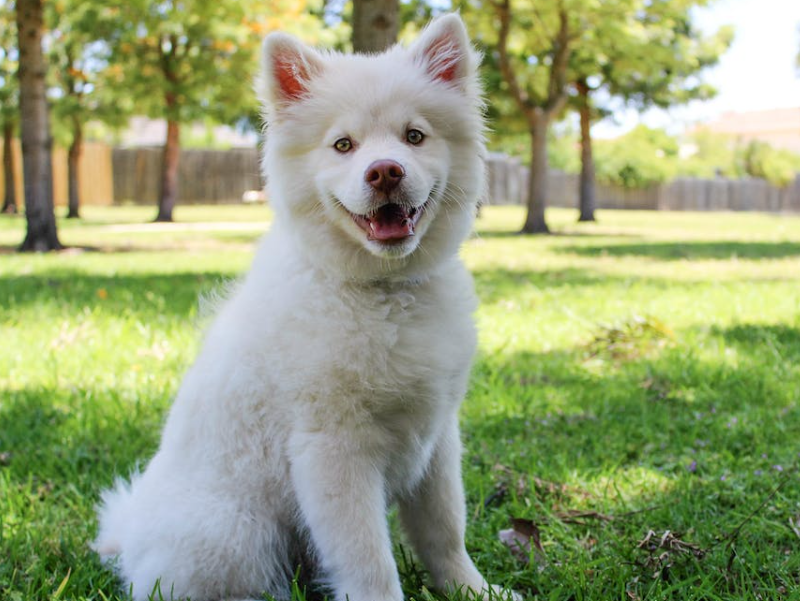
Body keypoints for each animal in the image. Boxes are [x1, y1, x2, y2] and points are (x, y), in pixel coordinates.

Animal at [95, 12, 520, 600]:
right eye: (343, 145)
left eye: (414, 136)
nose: (384, 171)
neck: (383, 291)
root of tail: (130, 536)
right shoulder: (333, 448)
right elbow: (369, 559)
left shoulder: (436, 438)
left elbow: (445, 531)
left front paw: (471, 591)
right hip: (234, 536)